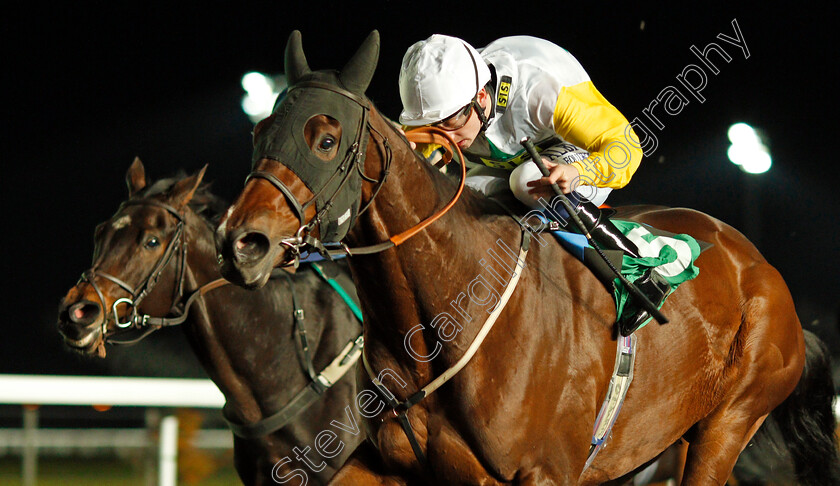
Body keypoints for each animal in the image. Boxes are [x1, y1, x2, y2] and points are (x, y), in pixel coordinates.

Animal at [213, 32, 836, 484]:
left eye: (325, 140)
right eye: (259, 131)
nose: (241, 242)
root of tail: (761, 269)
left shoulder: (542, 473)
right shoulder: (387, 464)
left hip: (727, 424)